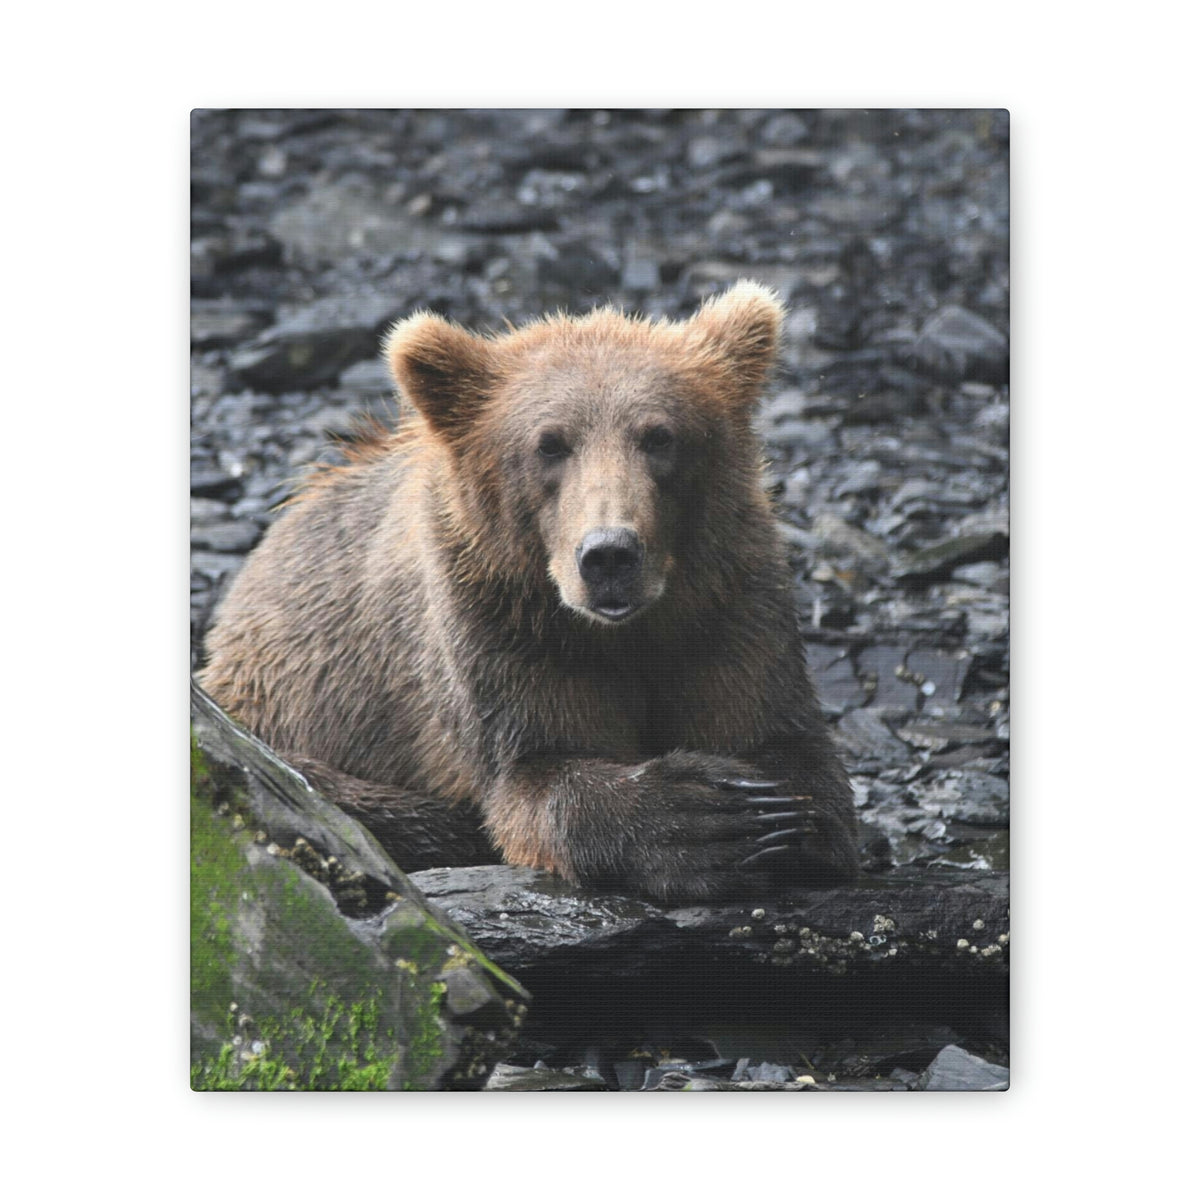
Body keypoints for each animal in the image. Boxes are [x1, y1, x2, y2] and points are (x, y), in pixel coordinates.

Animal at [199, 281, 859, 903]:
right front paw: (702, 819)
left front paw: (772, 815)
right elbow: (535, 772)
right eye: (550, 443)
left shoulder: (727, 604)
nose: (609, 554)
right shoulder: (500, 626)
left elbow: (783, 741)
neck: (623, 631)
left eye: (659, 436)